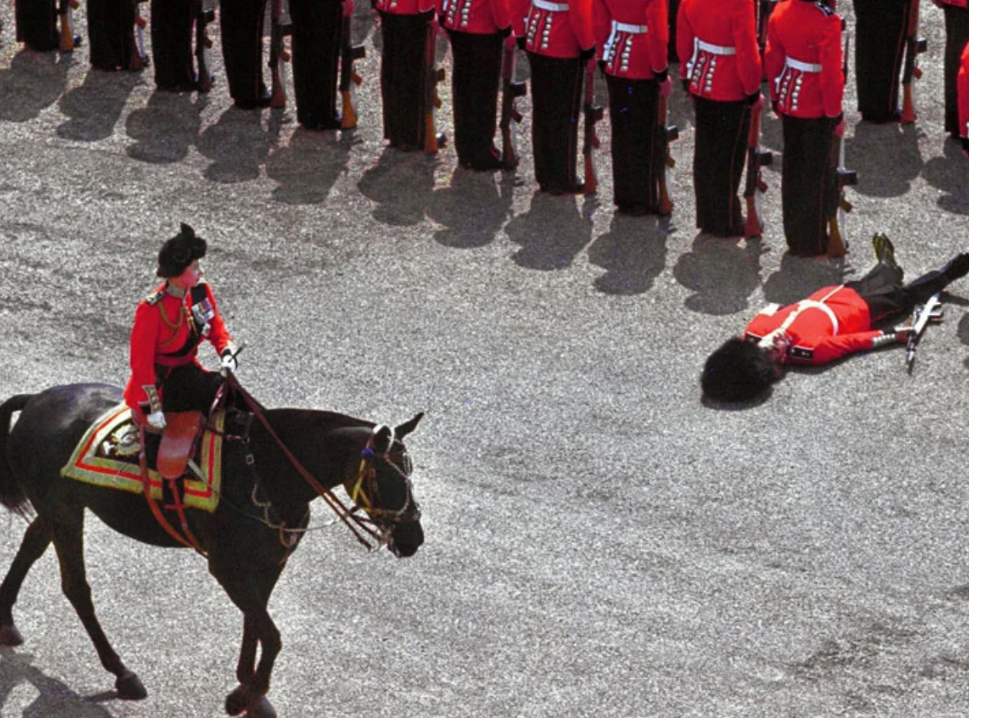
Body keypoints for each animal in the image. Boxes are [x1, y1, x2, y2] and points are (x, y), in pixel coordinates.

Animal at [0, 382, 422, 718]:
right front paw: (248, 693)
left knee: (32, 546)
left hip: (58, 510)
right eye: (387, 476)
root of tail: (36, 399)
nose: (413, 538)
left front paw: (247, 690)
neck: (266, 471)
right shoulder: (227, 567)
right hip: (64, 513)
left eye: (411, 472)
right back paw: (122, 672)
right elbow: (271, 634)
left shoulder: (270, 564)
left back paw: (7, 621)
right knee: (76, 587)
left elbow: (257, 624)